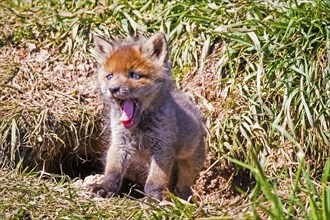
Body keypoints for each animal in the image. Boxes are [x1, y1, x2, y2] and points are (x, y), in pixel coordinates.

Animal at [91, 32, 205, 201]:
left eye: (134, 75)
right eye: (109, 76)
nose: (113, 89)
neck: (139, 128)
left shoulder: (162, 146)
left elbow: (155, 179)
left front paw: (153, 198)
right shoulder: (120, 142)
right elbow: (113, 172)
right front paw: (105, 188)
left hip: (189, 164)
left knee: (181, 186)